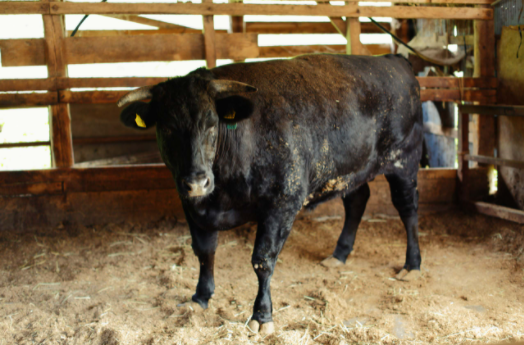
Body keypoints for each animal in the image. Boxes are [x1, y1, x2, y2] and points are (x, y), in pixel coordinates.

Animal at [118, 54, 422, 334]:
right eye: (167, 127)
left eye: (212, 123)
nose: (197, 182)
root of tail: (393, 59)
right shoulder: (192, 206)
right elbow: (204, 252)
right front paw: (201, 297)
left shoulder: (282, 203)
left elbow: (262, 260)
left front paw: (262, 316)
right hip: (351, 170)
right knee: (357, 201)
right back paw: (339, 254)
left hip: (404, 158)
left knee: (407, 209)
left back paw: (412, 264)